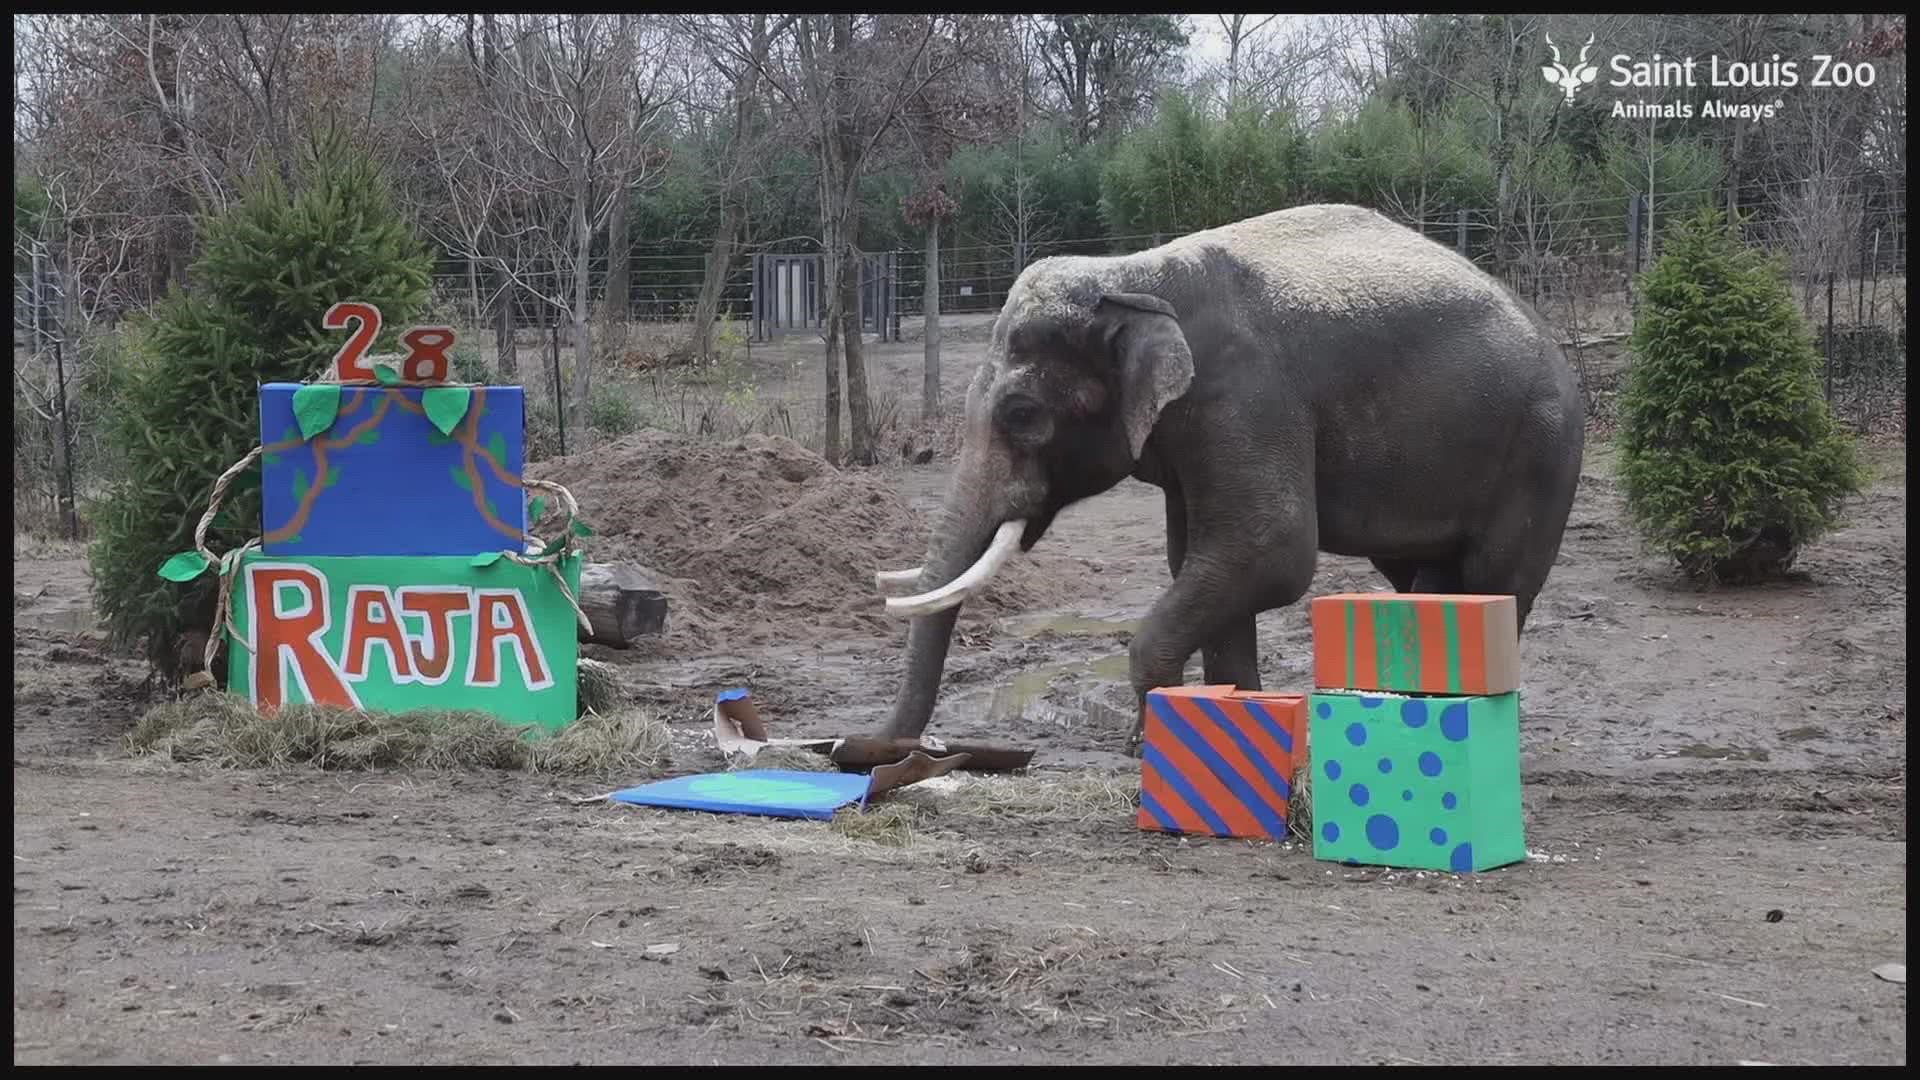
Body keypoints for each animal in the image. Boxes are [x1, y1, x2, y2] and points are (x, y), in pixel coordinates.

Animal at [879, 205, 1582, 753]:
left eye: (1022, 415)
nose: (883, 751)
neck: (1133, 276)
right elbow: (1200, 558)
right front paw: (1230, 716)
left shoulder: (1248, 398)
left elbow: (1269, 550)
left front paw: (1148, 744)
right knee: (1424, 583)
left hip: (1542, 451)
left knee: (1495, 580)